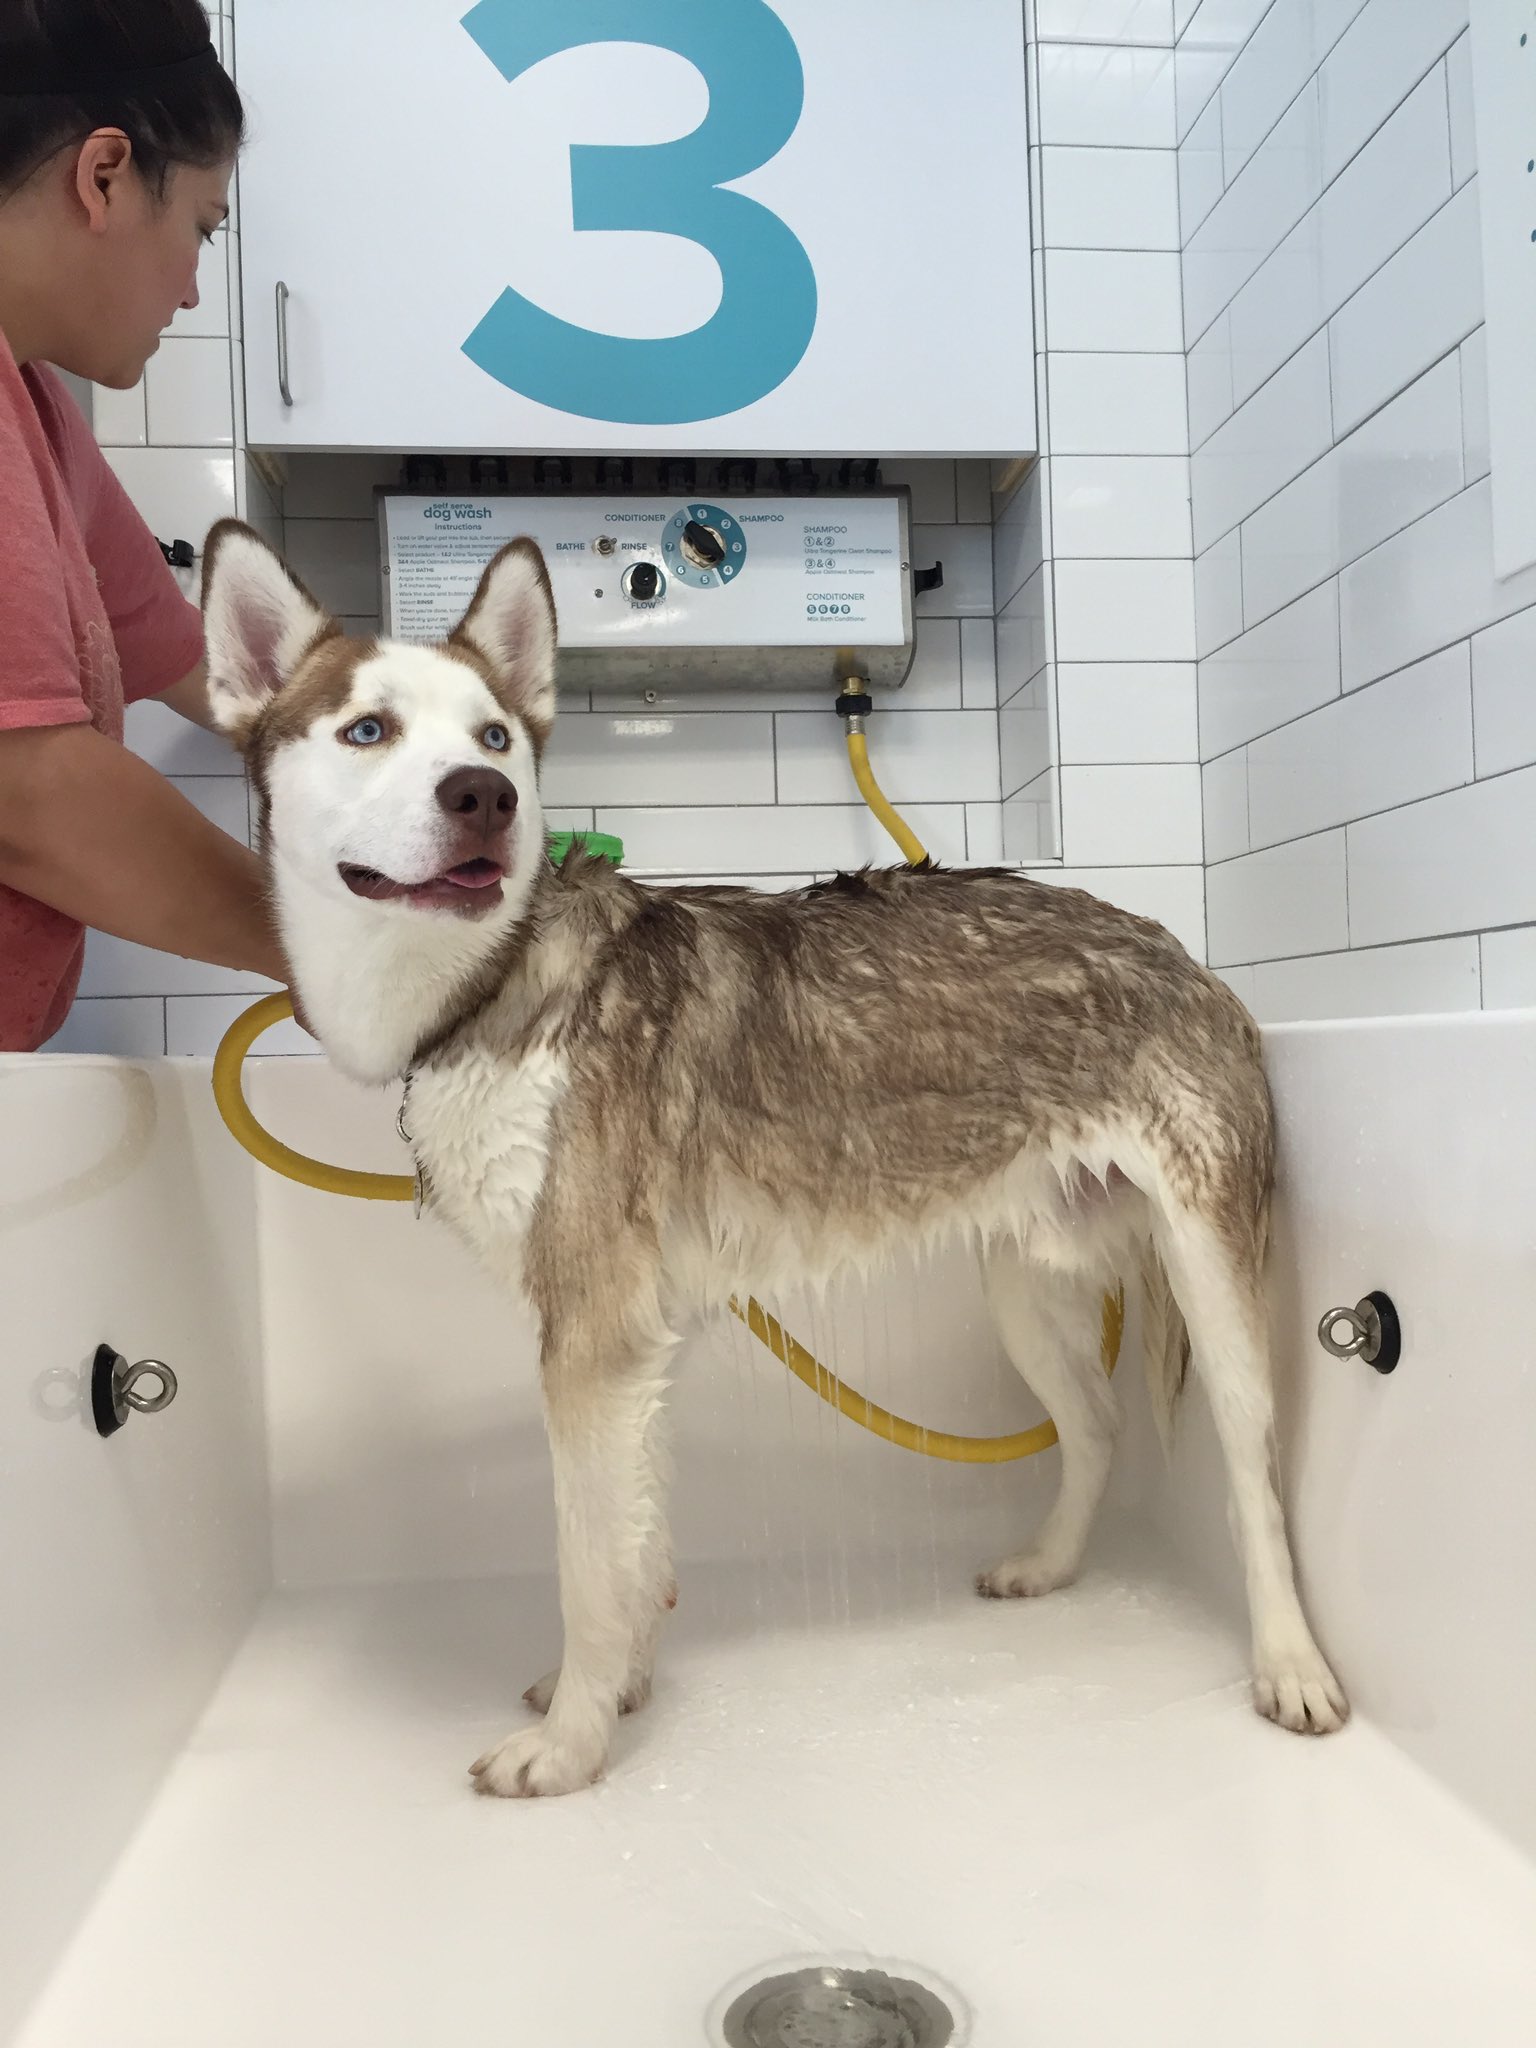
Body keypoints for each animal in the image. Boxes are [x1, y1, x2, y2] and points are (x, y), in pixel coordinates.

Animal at [201, 524, 1343, 1794]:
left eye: (492, 736)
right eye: (368, 729)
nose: (484, 797)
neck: (493, 982)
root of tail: (1180, 947)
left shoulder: (591, 1340)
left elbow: (588, 1569)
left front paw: (571, 1745)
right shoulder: (636, 1348)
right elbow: (638, 1549)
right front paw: (623, 1693)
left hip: (1212, 1286)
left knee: (1253, 1477)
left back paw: (1290, 1665)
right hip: (1020, 1283)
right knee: (1094, 1427)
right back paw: (1047, 1565)